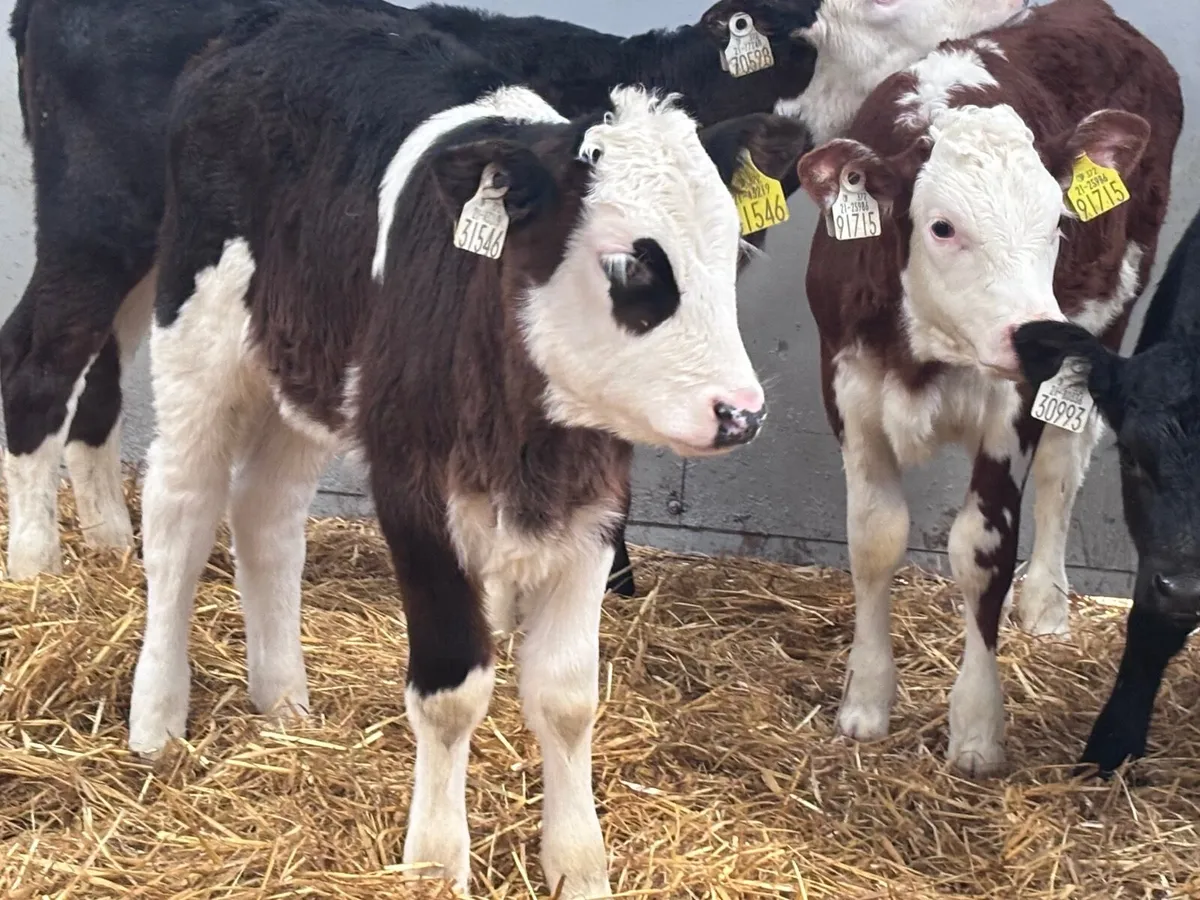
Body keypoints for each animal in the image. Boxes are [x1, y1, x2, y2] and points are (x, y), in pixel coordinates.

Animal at [125, 8, 810, 896]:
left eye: (731, 252)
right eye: (629, 262)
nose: (739, 412)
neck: (531, 439)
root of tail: (266, 28)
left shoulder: (598, 502)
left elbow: (567, 694)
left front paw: (578, 865)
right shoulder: (413, 491)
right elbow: (452, 690)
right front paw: (434, 861)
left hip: (312, 373)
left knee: (266, 516)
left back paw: (283, 703)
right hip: (197, 336)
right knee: (180, 510)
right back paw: (156, 720)